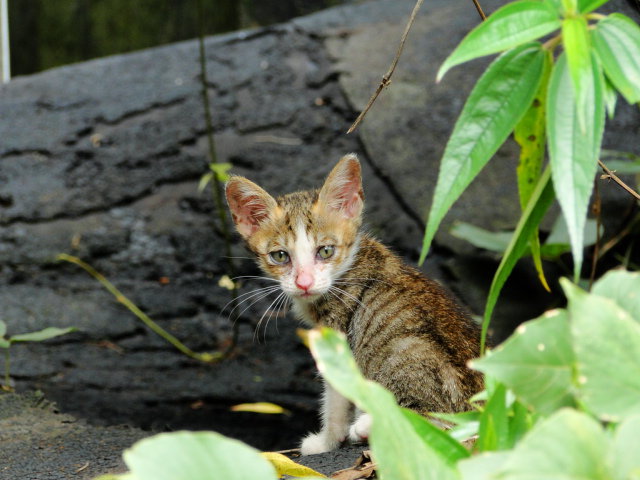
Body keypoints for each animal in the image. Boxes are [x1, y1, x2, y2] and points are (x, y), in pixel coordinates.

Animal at [225, 156, 480, 456]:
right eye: (280, 256)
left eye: (325, 251)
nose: (304, 283)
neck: (350, 264)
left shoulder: (337, 338)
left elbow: (335, 398)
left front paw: (326, 441)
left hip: (408, 350)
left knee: (442, 421)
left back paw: (367, 425)